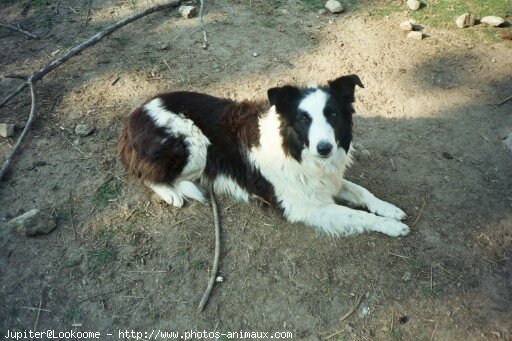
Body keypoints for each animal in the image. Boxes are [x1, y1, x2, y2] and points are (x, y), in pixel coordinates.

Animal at [118, 74, 410, 235]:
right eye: (303, 118)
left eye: (333, 114)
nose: (324, 148)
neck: (294, 150)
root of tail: (133, 116)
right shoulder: (302, 206)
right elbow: (356, 215)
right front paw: (390, 226)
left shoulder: (326, 181)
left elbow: (362, 192)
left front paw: (390, 210)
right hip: (194, 143)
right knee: (146, 173)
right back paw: (172, 193)